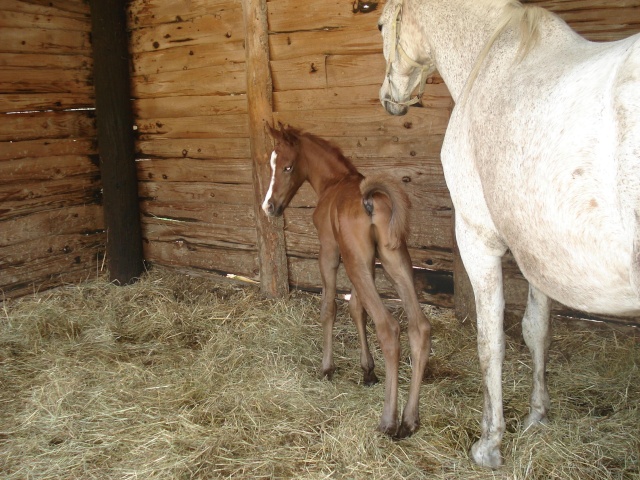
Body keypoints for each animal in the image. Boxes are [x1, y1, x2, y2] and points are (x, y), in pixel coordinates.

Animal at [260, 124, 430, 438]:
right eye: (271, 164)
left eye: (288, 166)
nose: (269, 206)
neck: (334, 182)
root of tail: (371, 200)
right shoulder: (368, 261)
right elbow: (356, 309)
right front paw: (368, 370)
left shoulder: (330, 251)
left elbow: (330, 308)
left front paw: (327, 368)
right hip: (393, 260)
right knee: (419, 327)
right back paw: (410, 420)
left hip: (355, 262)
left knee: (389, 328)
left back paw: (388, 421)